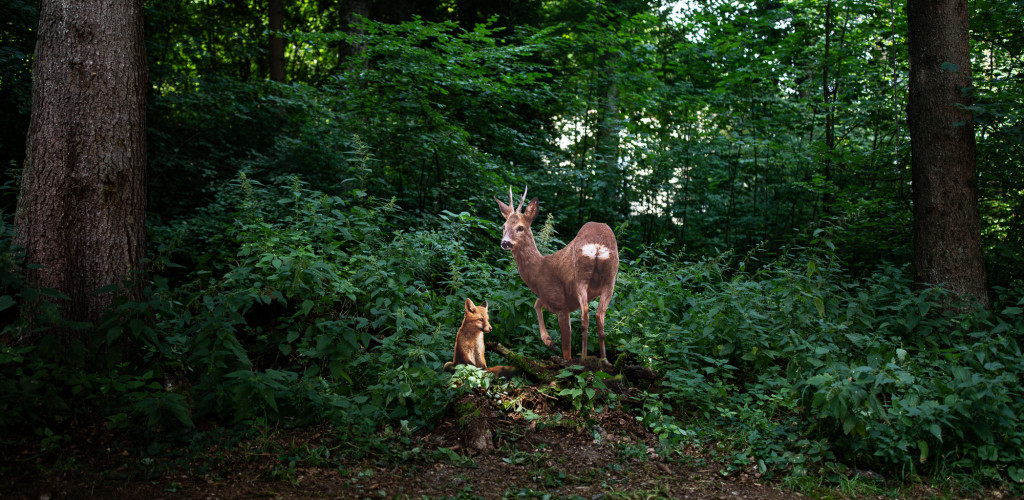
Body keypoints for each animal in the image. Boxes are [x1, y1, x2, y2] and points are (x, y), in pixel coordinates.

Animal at [493, 187, 618, 358]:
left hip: (581, 275)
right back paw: (603, 359)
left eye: (520, 227)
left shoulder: (560, 303)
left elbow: (566, 347)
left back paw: (583, 357)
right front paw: (549, 341)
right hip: (610, 277)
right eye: (503, 226)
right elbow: (536, 304)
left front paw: (552, 344)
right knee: (599, 315)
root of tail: (597, 246)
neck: (539, 270)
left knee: (585, 314)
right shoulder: (552, 299)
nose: (505, 243)